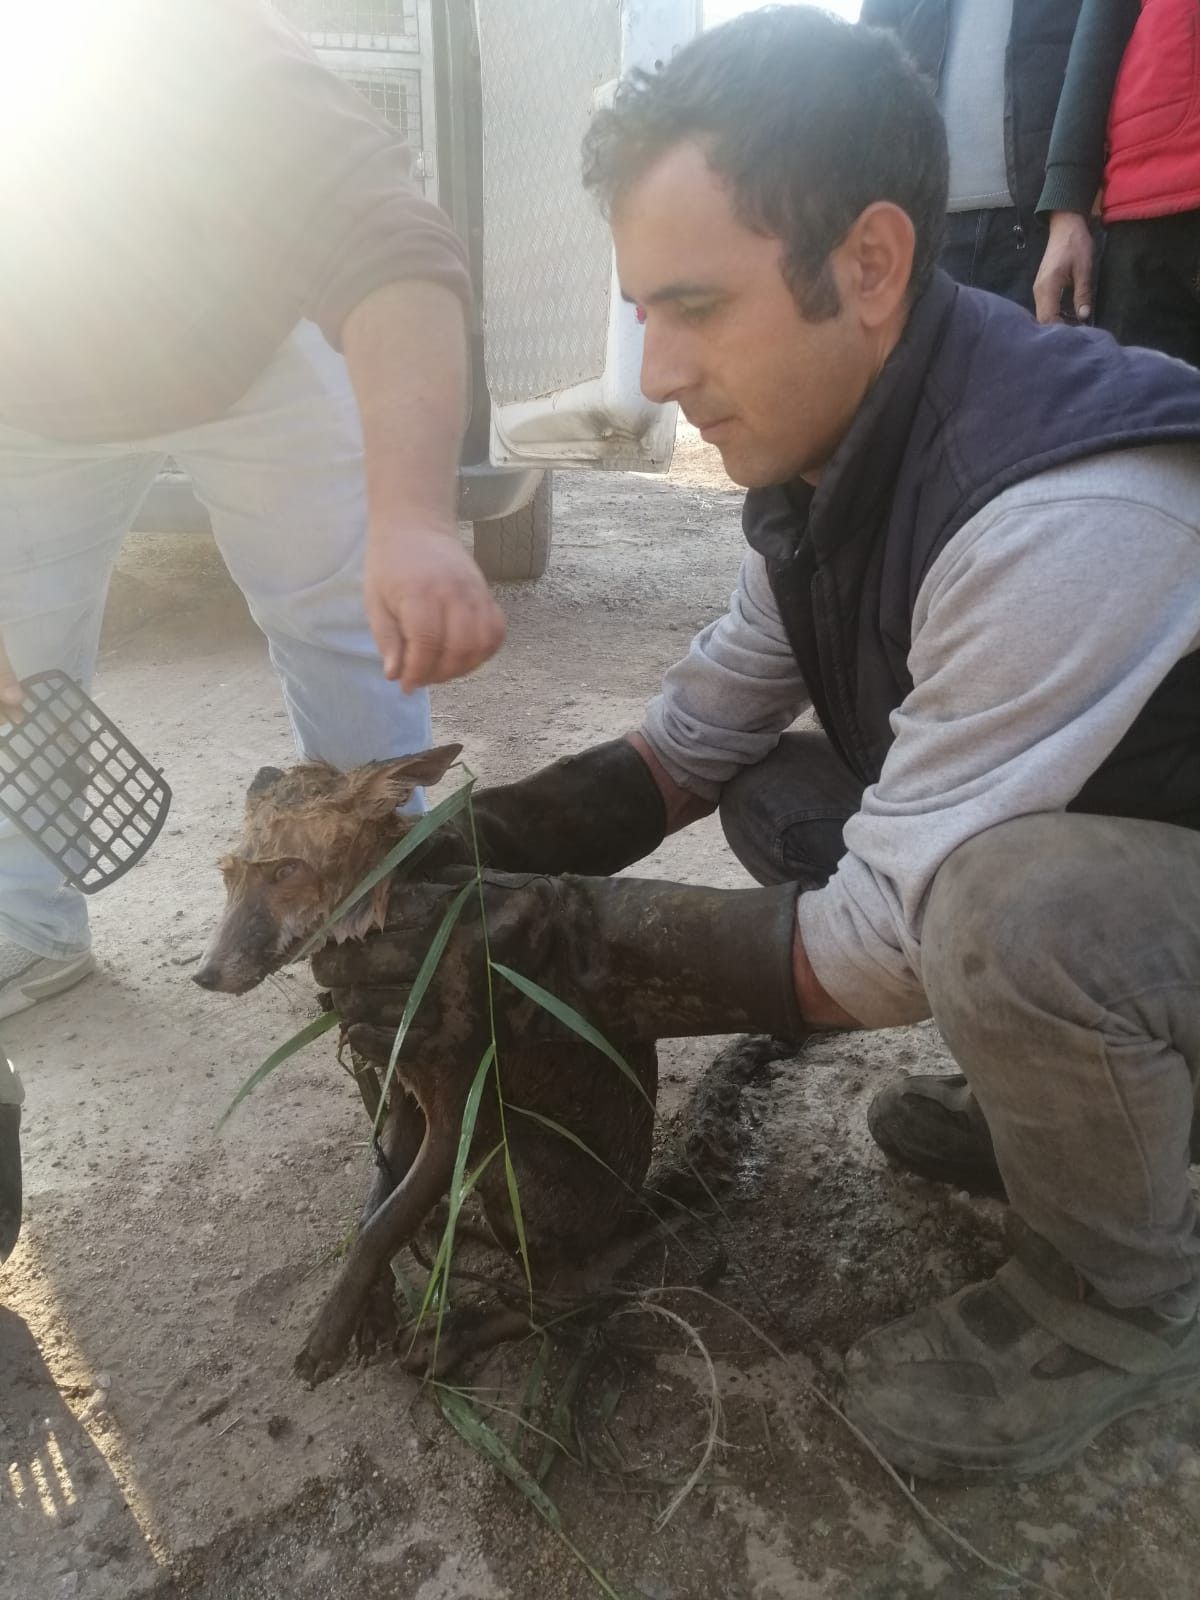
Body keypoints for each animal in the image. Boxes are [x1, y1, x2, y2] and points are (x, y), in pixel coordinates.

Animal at [200, 755, 662, 1382]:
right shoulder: (402, 1100)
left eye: (287, 871)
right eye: (229, 876)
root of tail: (634, 1207)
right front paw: (370, 1312)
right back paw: (454, 1229)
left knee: (569, 1300)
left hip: (506, 1163)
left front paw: (328, 1334)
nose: (205, 974)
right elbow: (373, 1213)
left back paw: (452, 1337)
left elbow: (379, 1230)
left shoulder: (458, 1119)